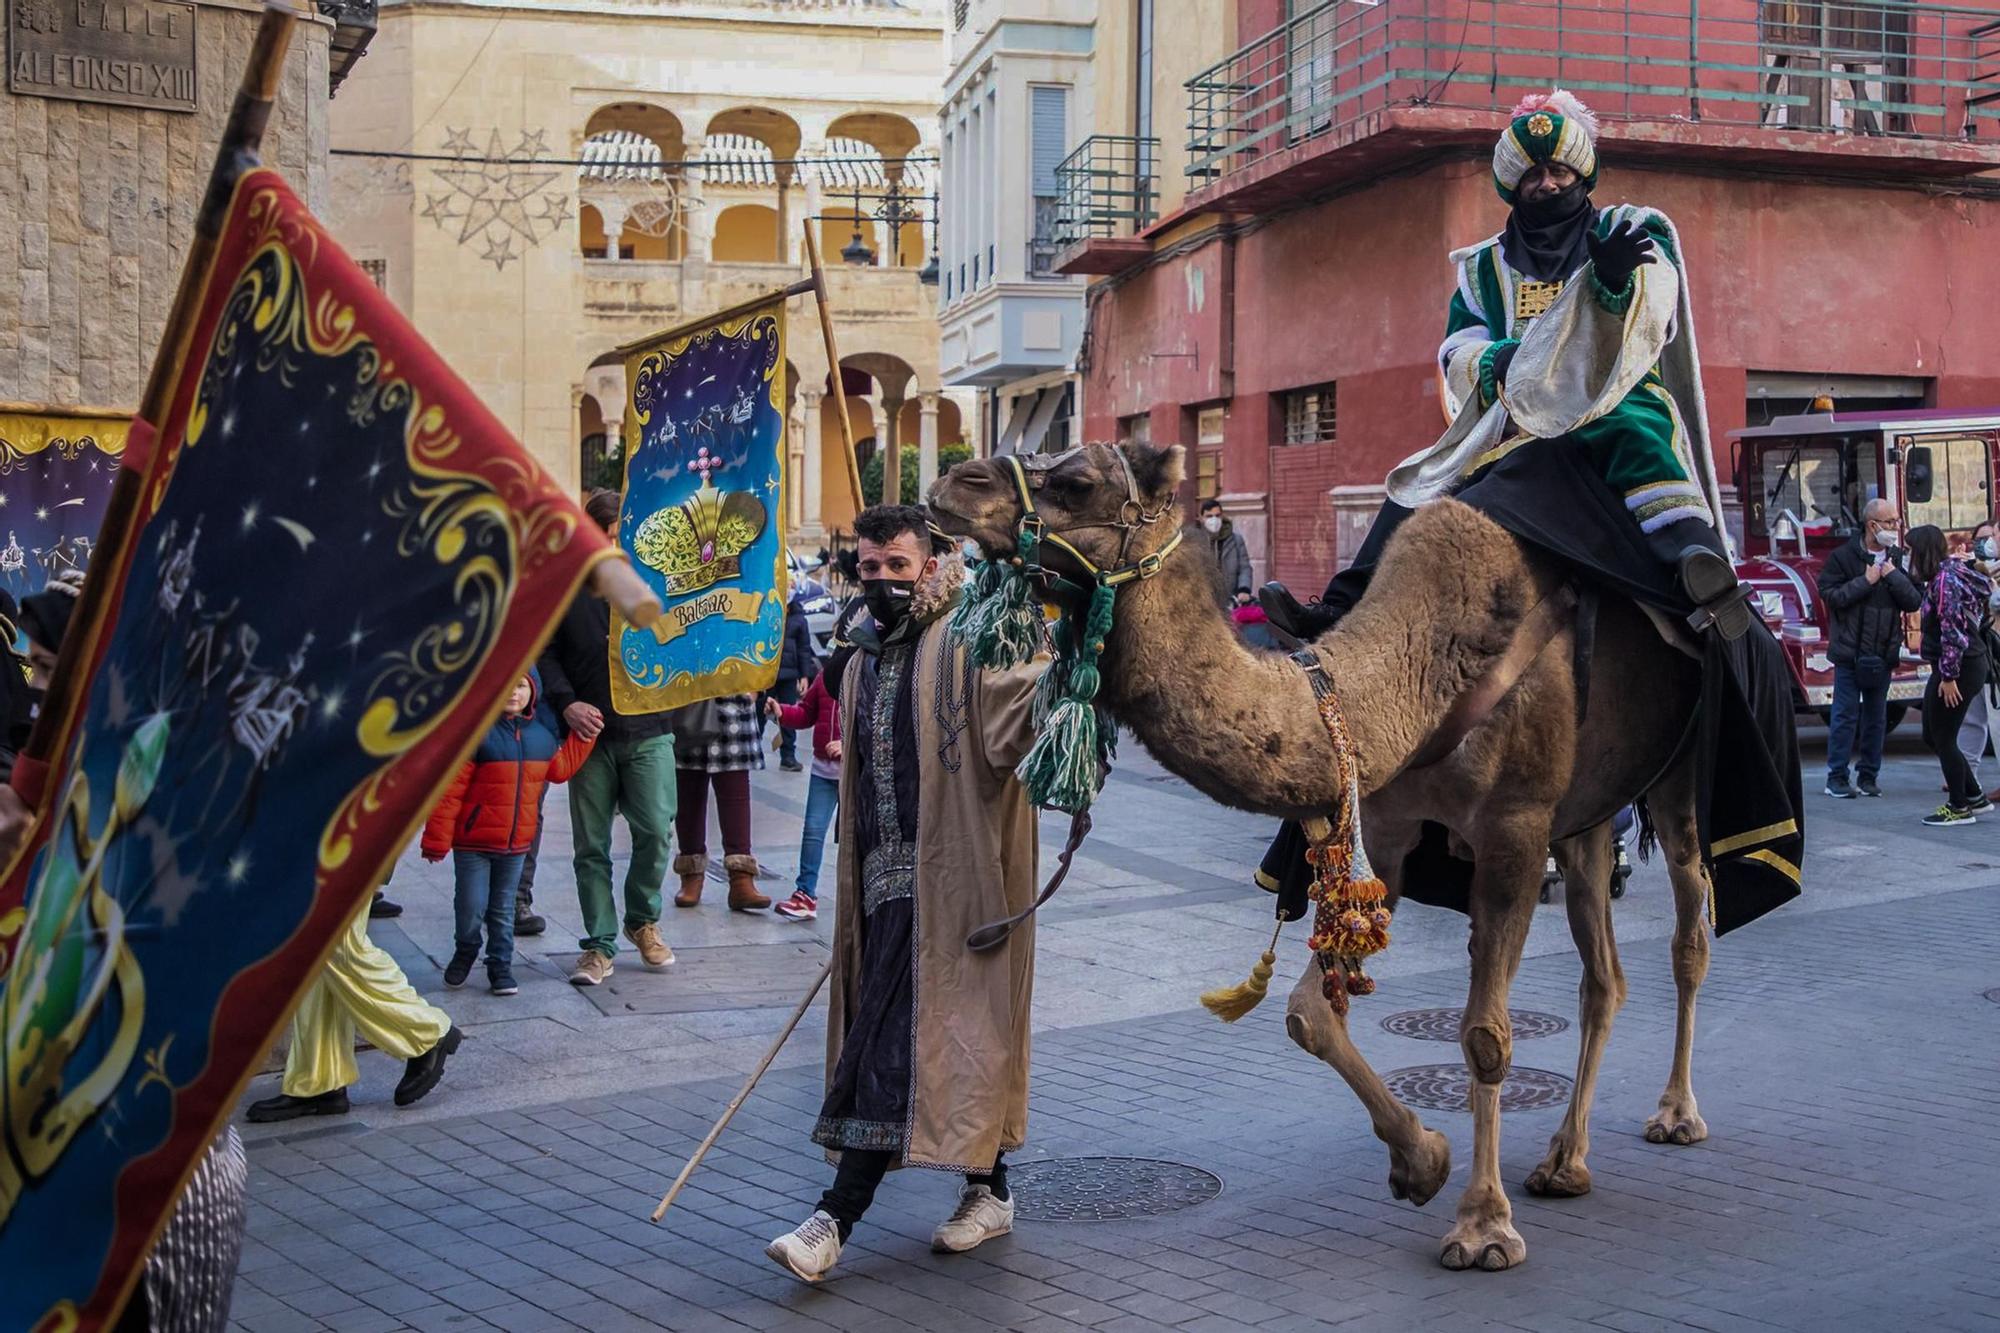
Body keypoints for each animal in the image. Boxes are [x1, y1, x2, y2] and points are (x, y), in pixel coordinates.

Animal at [928, 444, 1728, 1264]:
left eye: (1078, 480)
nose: (953, 483)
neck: (1416, 675)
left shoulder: (1515, 825)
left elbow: (1484, 1035)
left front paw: (1483, 1225)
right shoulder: (1391, 825)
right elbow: (1307, 1013)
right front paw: (1422, 1159)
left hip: (1677, 779)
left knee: (1689, 934)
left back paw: (1676, 1112)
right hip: (1587, 814)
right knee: (1604, 973)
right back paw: (1566, 1159)